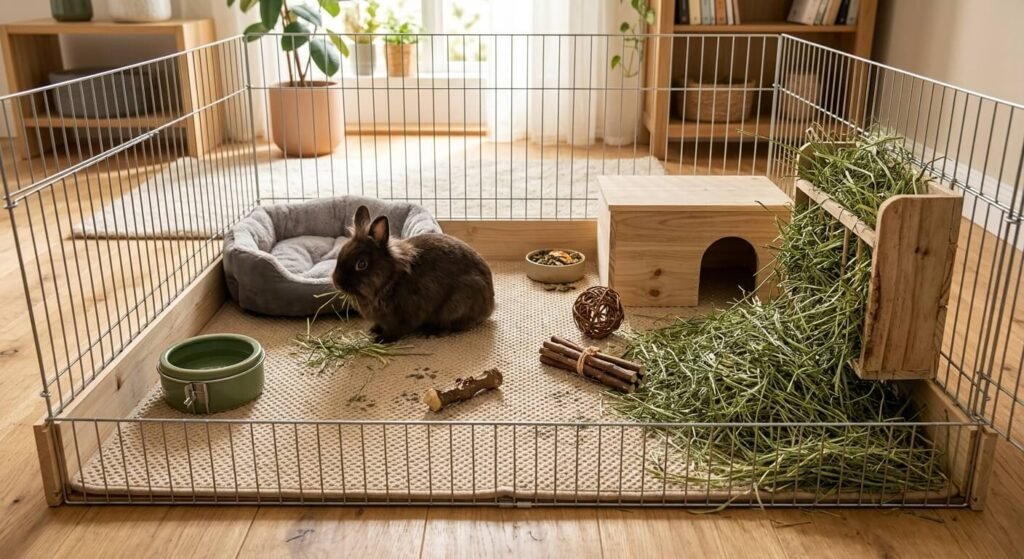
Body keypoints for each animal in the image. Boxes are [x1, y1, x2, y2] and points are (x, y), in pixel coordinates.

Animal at [332, 205, 495, 343]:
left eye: (362, 264)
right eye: (340, 255)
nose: (337, 282)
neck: (390, 280)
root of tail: (490, 306)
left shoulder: (405, 315)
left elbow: (397, 330)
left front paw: (381, 339)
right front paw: (374, 329)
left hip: (456, 304)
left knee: (449, 325)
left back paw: (431, 331)